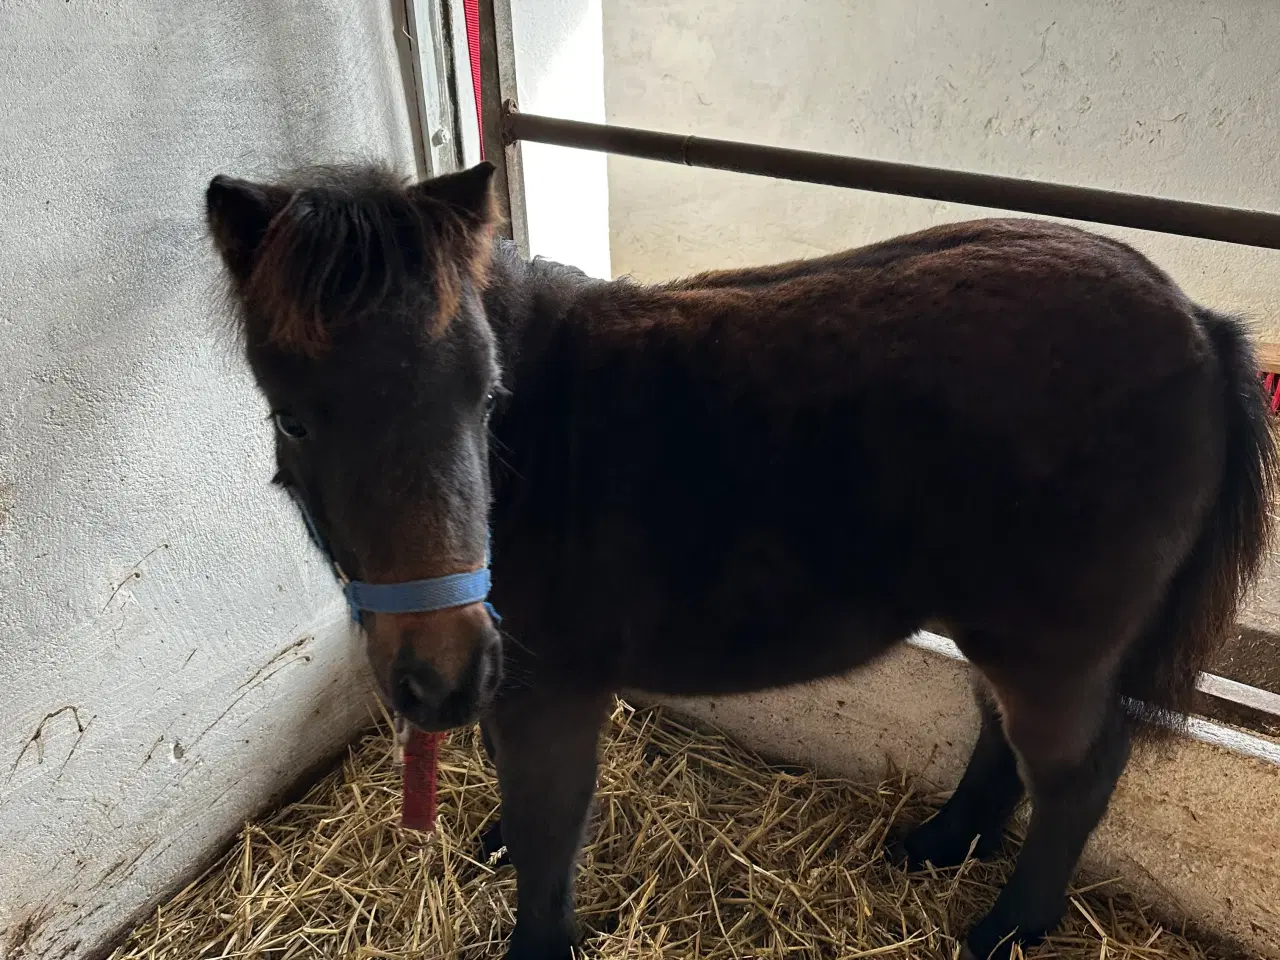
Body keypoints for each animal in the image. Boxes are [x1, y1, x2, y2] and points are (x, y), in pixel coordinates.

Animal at [204, 161, 1274, 957]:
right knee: (999, 736)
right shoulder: (510, 684)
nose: (441, 676)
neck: (534, 458)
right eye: (294, 420)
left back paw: (1005, 930)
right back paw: (937, 844)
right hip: (998, 627)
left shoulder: (554, 695)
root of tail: (1197, 321)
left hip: (1055, 648)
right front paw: (491, 843)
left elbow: (549, 841)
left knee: (1078, 773)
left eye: (486, 395)